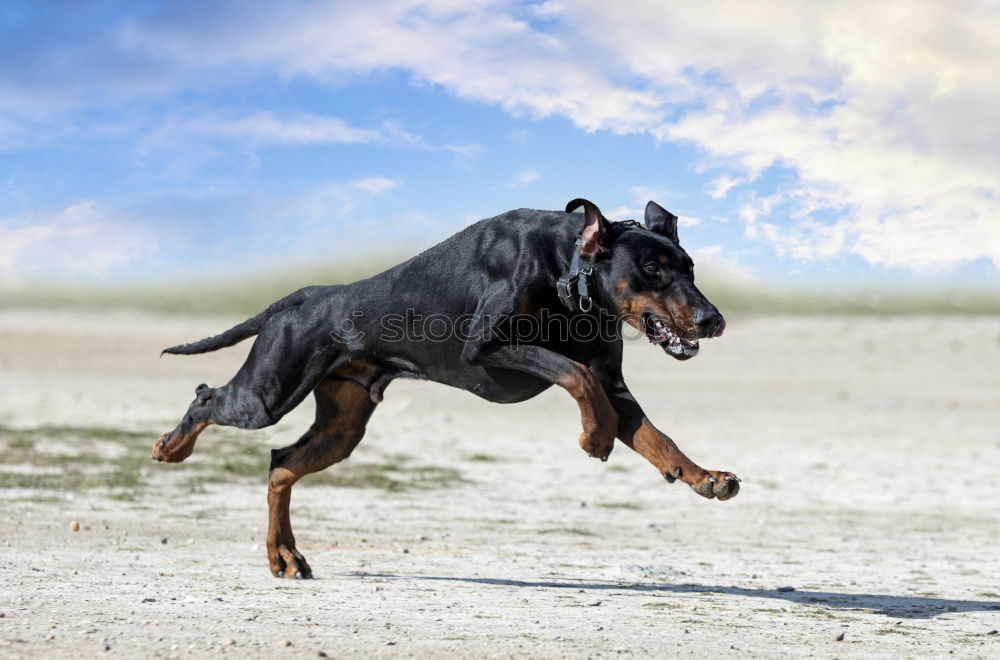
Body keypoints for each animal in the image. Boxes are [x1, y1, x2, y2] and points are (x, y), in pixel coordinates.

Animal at [154, 197, 736, 576]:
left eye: (689, 266)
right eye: (652, 267)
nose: (713, 320)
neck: (567, 269)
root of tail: (302, 296)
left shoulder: (613, 382)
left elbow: (654, 434)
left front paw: (704, 476)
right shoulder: (487, 347)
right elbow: (576, 375)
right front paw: (595, 437)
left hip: (341, 427)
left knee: (280, 464)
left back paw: (285, 556)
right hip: (268, 393)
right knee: (207, 397)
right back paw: (171, 447)